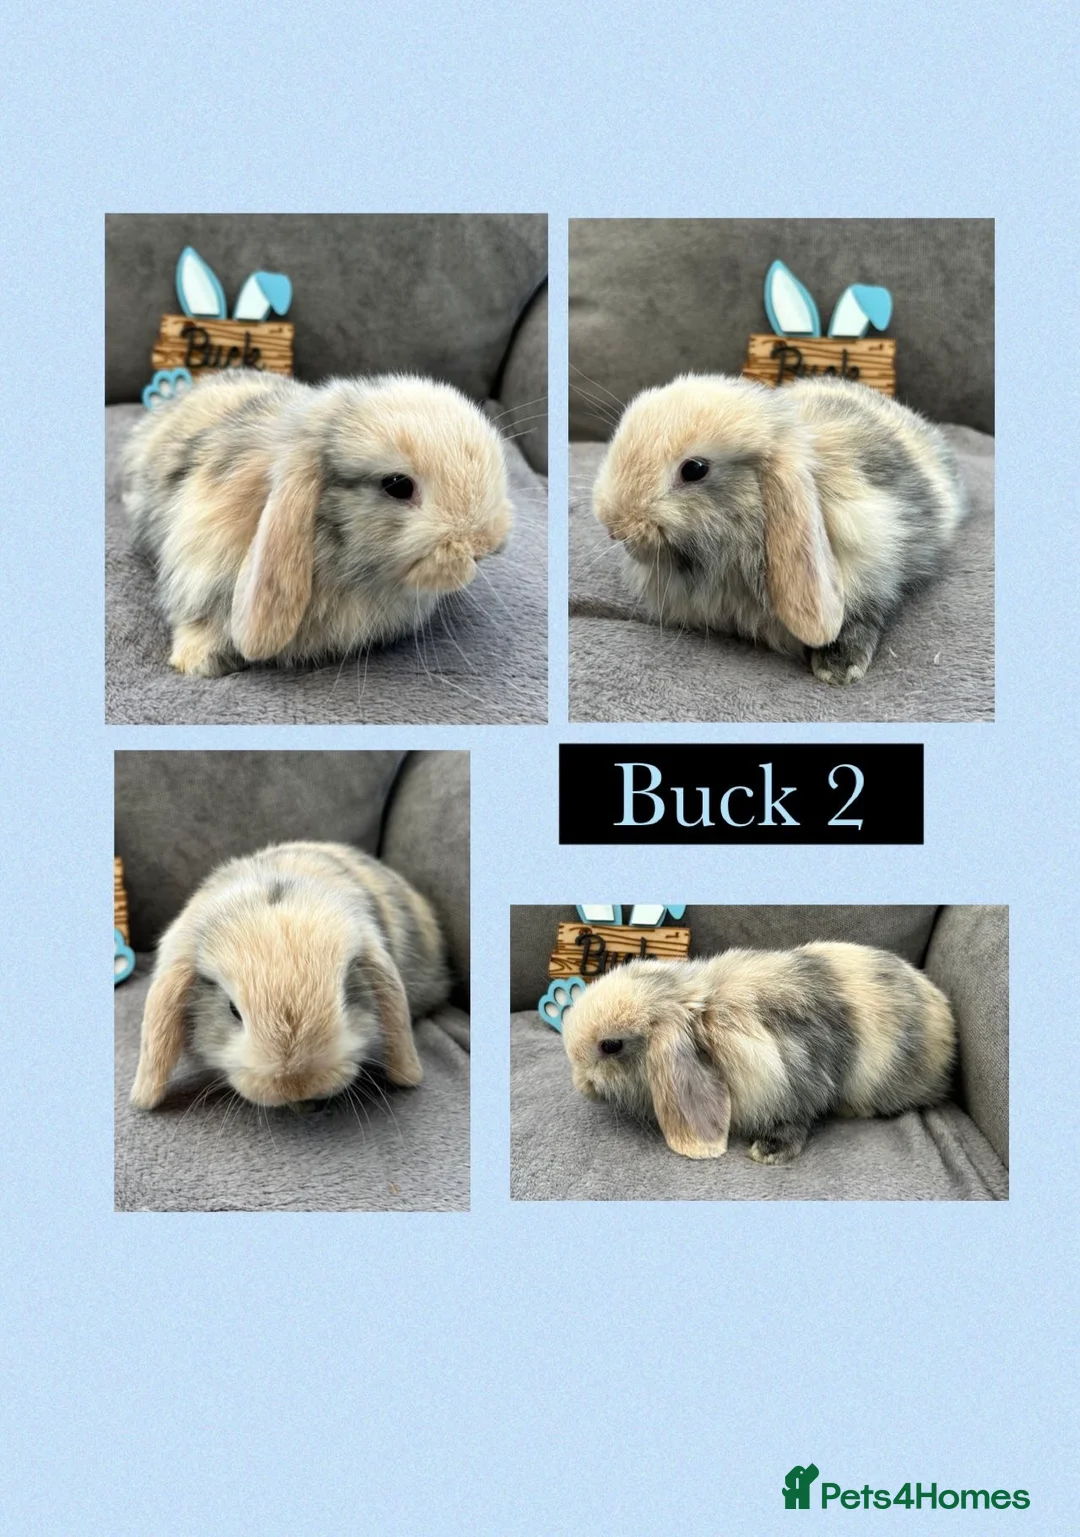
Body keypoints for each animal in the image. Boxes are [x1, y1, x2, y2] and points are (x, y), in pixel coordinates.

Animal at [561, 943, 955, 1161]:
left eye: (611, 1045)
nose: (580, 1086)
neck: (706, 1022)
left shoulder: (797, 1080)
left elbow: (794, 1120)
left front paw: (768, 1152)